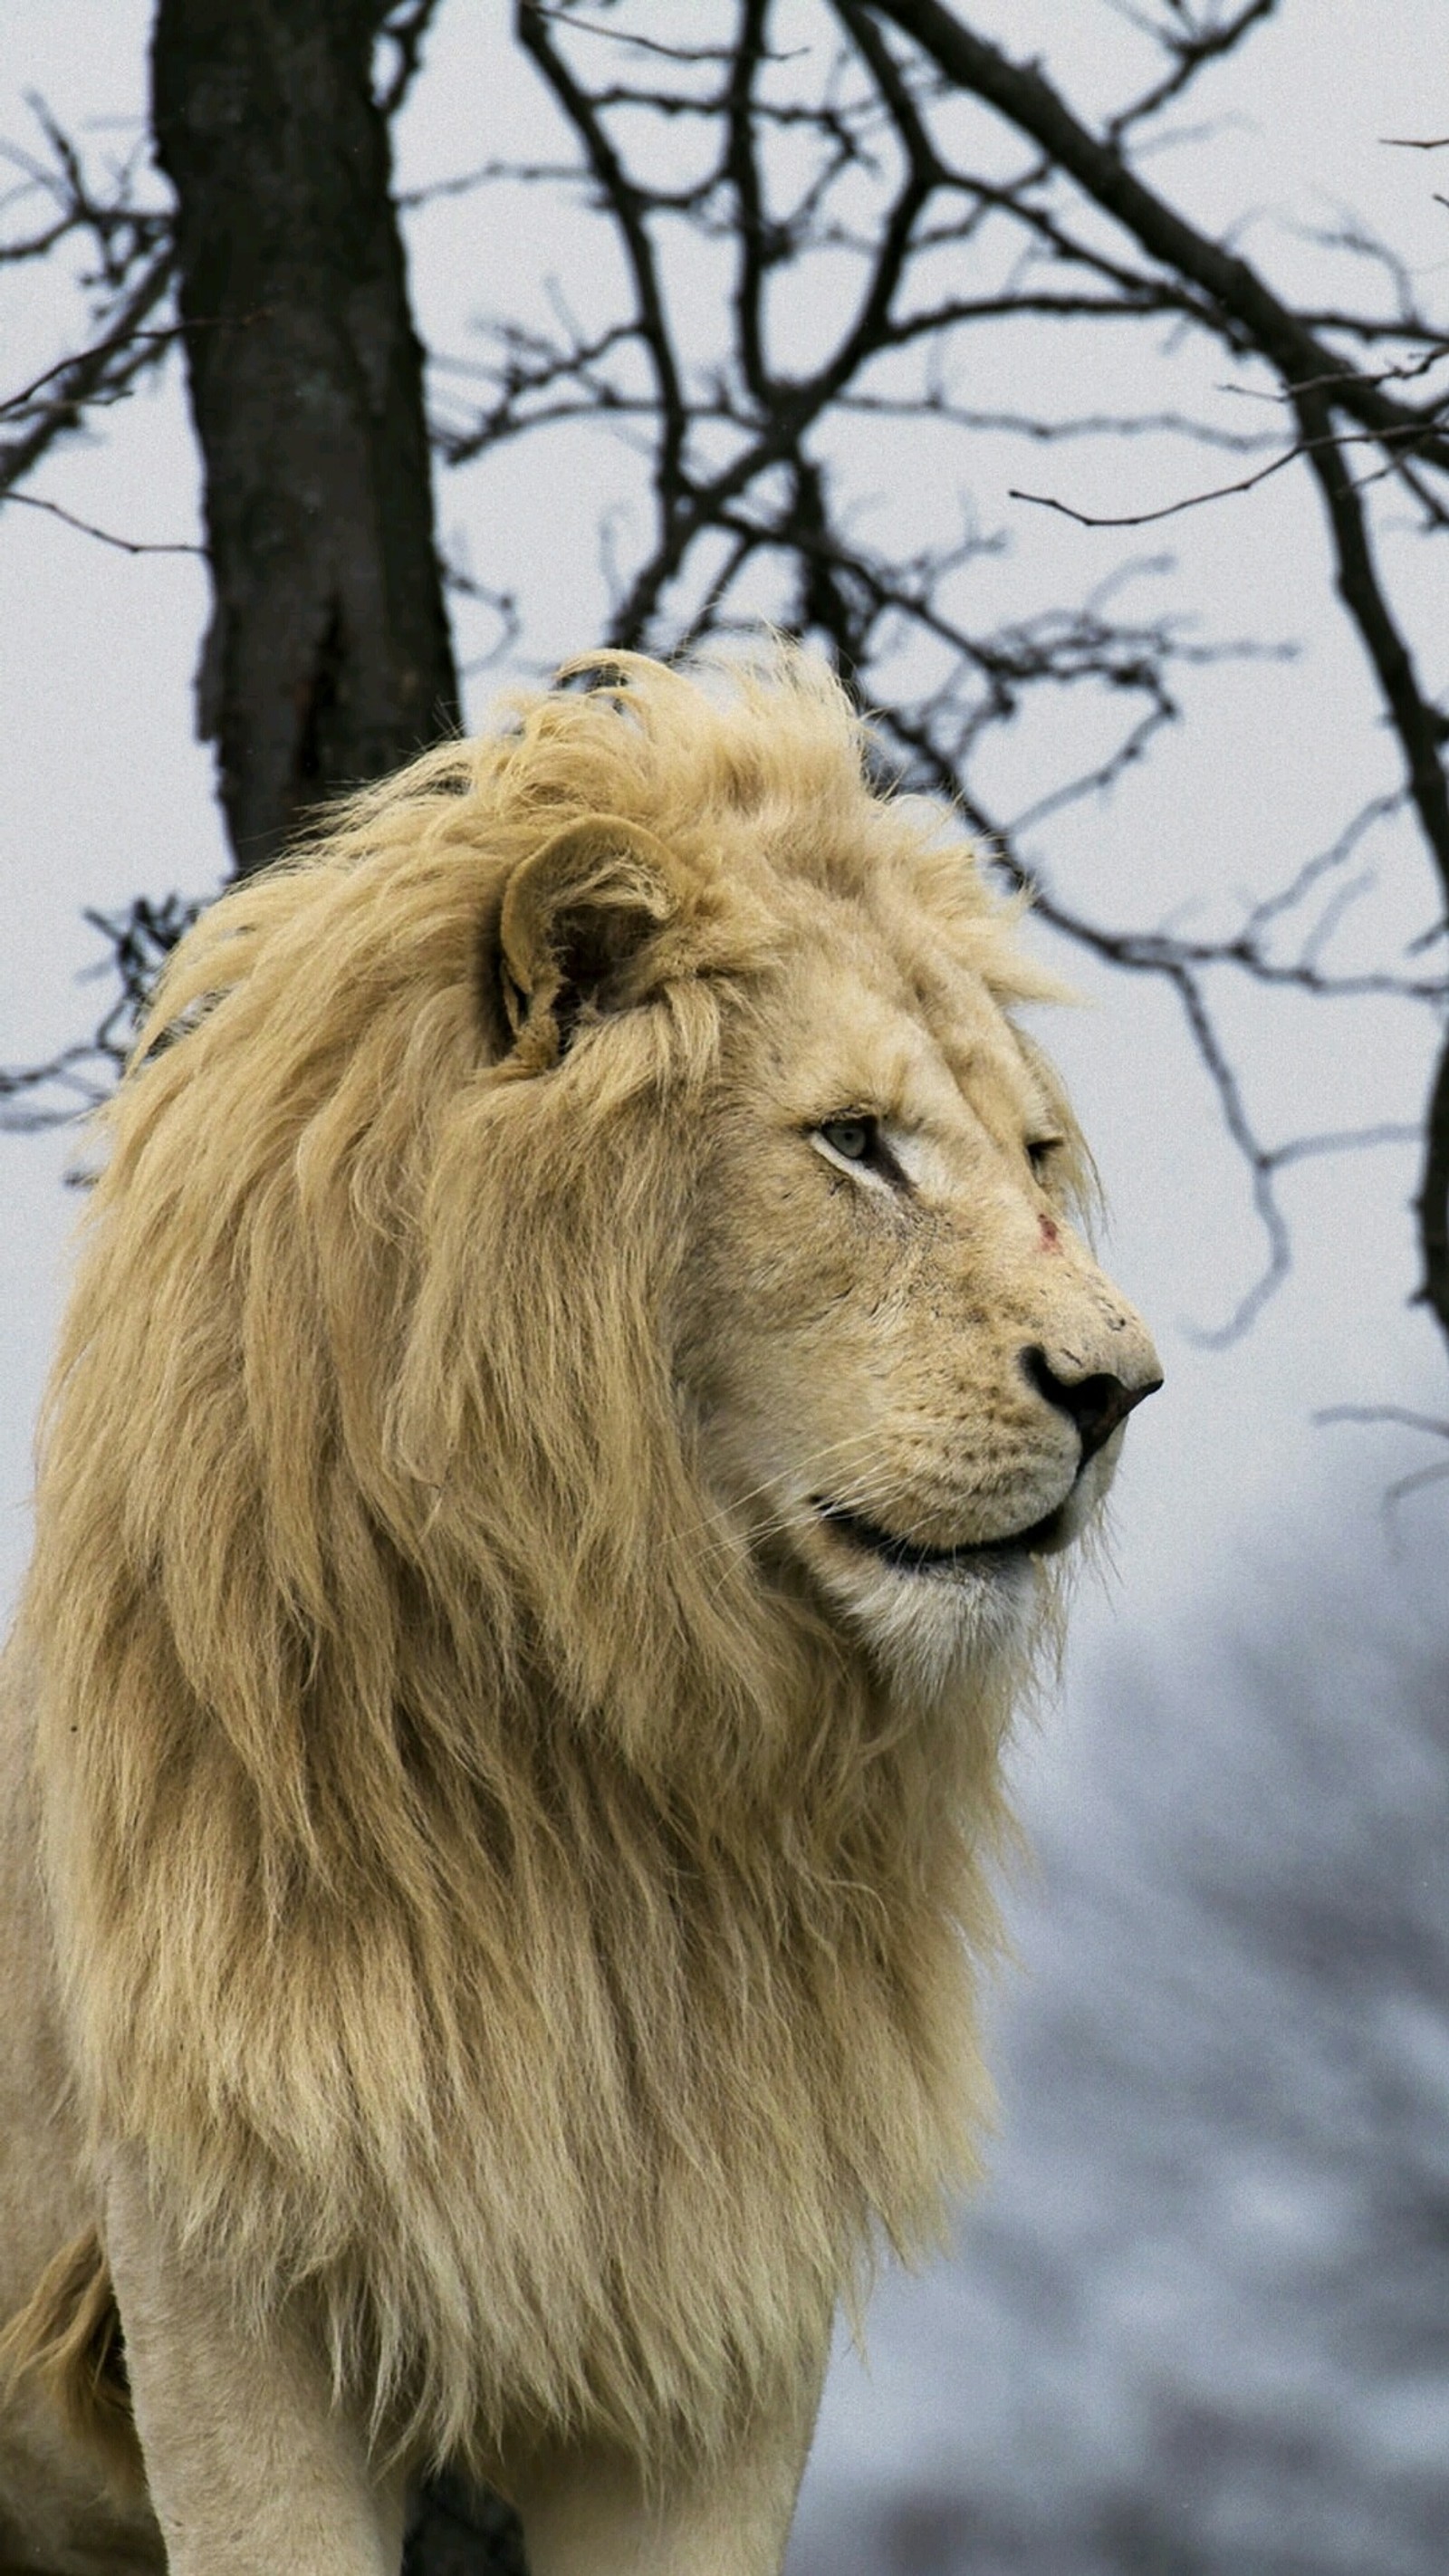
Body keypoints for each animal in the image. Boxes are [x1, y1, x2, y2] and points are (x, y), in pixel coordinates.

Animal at [0, 644, 1157, 2576]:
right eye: (855, 1143)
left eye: (1036, 1150)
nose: (1121, 1387)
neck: (609, 1748)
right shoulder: (216, 2271)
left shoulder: (711, 2293)